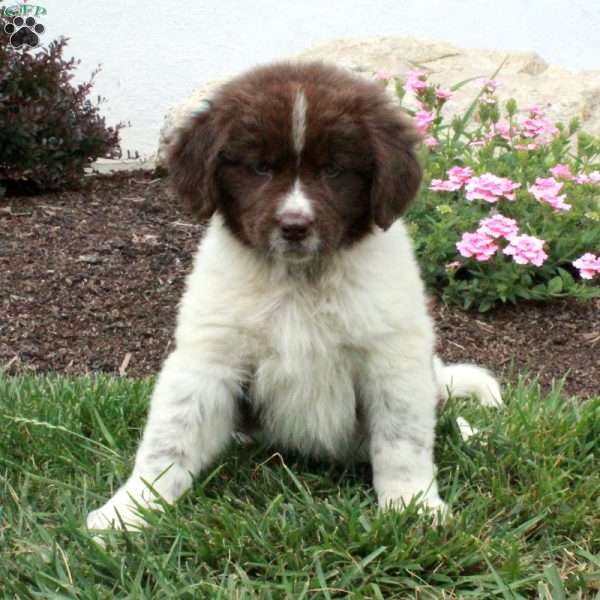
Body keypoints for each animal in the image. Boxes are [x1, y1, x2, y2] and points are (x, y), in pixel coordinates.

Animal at [86, 61, 500, 528]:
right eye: (260, 168)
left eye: (335, 171)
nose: (295, 226)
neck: (300, 281)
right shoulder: (210, 355)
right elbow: (170, 440)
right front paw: (131, 508)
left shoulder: (392, 358)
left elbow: (402, 442)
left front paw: (413, 507)